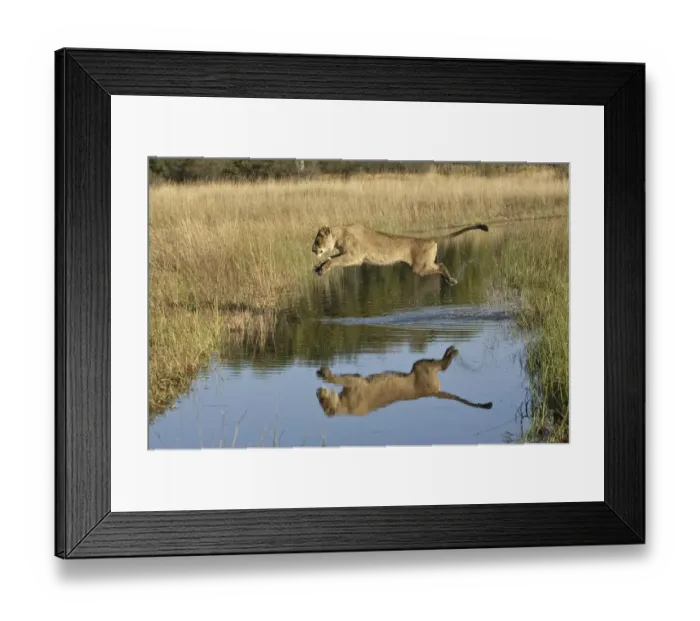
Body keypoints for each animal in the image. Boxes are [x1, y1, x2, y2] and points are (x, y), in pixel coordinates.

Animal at [311, 223, 489, 285]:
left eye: (317, 240)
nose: (313, 250)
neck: (340, 235)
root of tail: (430, 238)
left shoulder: (355, 257)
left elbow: (333, 261)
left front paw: (322, 269)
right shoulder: (347, 254)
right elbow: (330, 258)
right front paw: (318, 268)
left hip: (420, 267)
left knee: (441, 266)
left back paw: (451, 280)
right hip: (423, 266)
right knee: (439, 266)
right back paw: (449, 280)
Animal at [315, 345, 493, 417]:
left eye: (322, 401)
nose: (317, 392)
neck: (342, 403)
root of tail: (432, 393)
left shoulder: (355, 382)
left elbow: (341, 378)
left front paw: (324, 373)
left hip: (420, 366)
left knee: (442, 364)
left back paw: (452, 351)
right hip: (423, 368)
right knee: (441, 366)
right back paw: (452, 350)